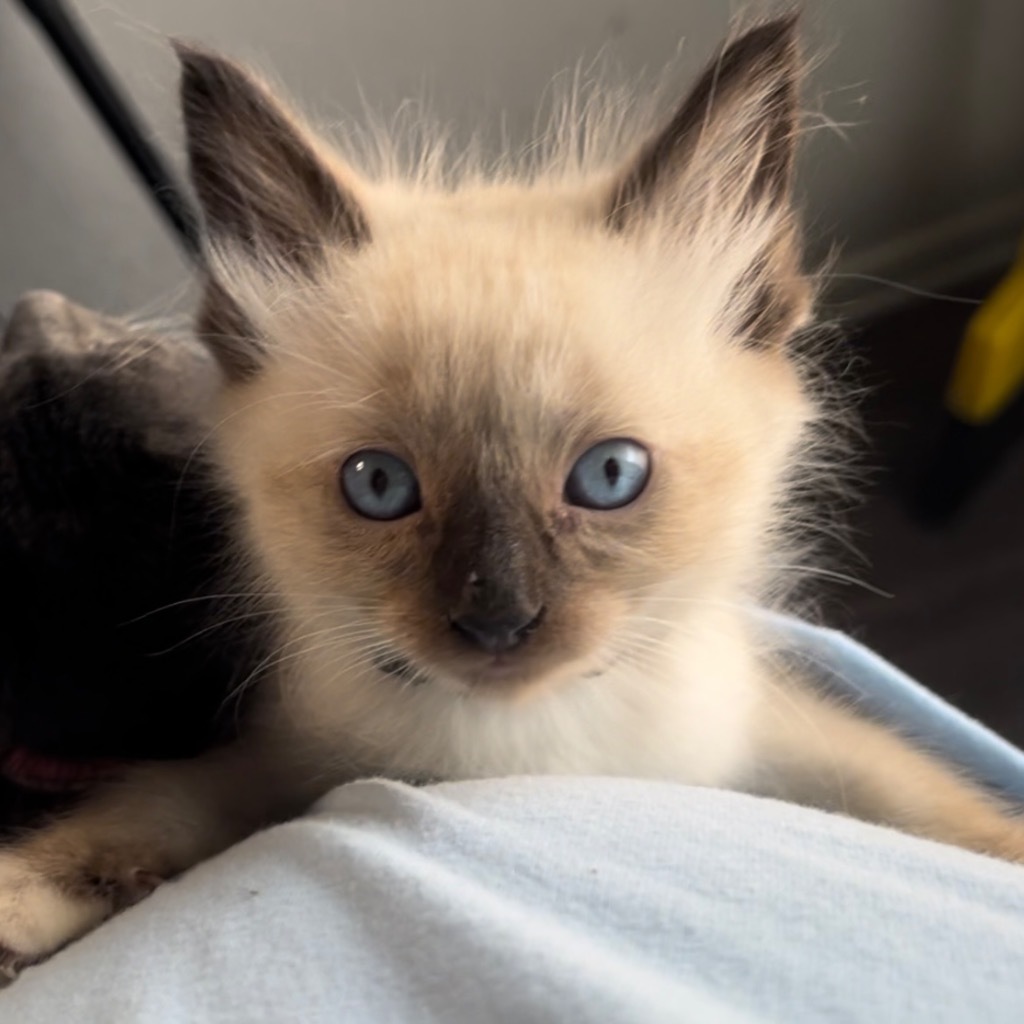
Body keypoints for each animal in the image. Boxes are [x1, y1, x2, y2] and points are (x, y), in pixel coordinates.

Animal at [2, 16, 1024, 974]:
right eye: (380, 486)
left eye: (609, 476)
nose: (497, 622)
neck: (526, 747)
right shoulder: (284, 759)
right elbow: (163, 807)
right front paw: (24, 903)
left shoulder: (762, 737)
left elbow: (927, 798)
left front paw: (998, 855)